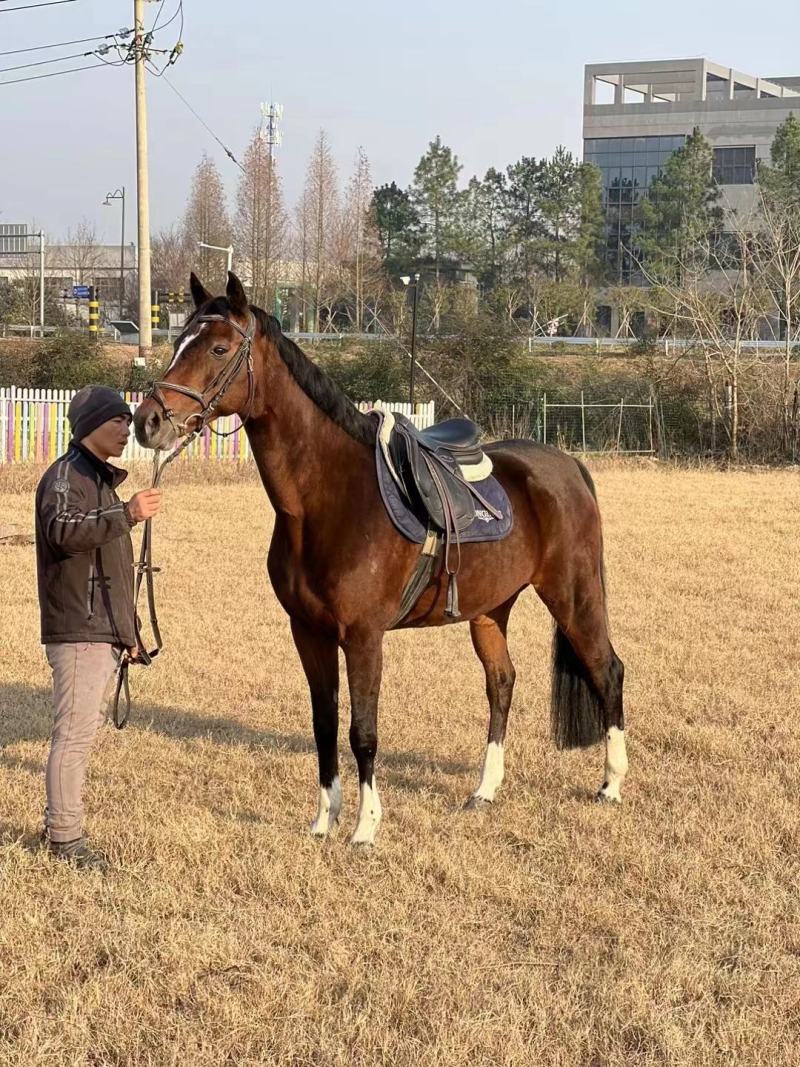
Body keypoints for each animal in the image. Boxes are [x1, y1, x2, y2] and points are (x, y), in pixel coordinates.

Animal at [133, 272, 627, 845]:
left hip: (573, 596)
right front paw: (324, 819)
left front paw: (366, 826)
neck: (329, 500)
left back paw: (611, 785)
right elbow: (324, 724)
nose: (147, 421)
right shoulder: (309, 633)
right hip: (490, 610)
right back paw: (485, 790)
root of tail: (567, 465)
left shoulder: (363, 636)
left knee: (607, 671)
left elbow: (362, 730)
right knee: (501, 683)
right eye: (177, 342)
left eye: (218, 348)